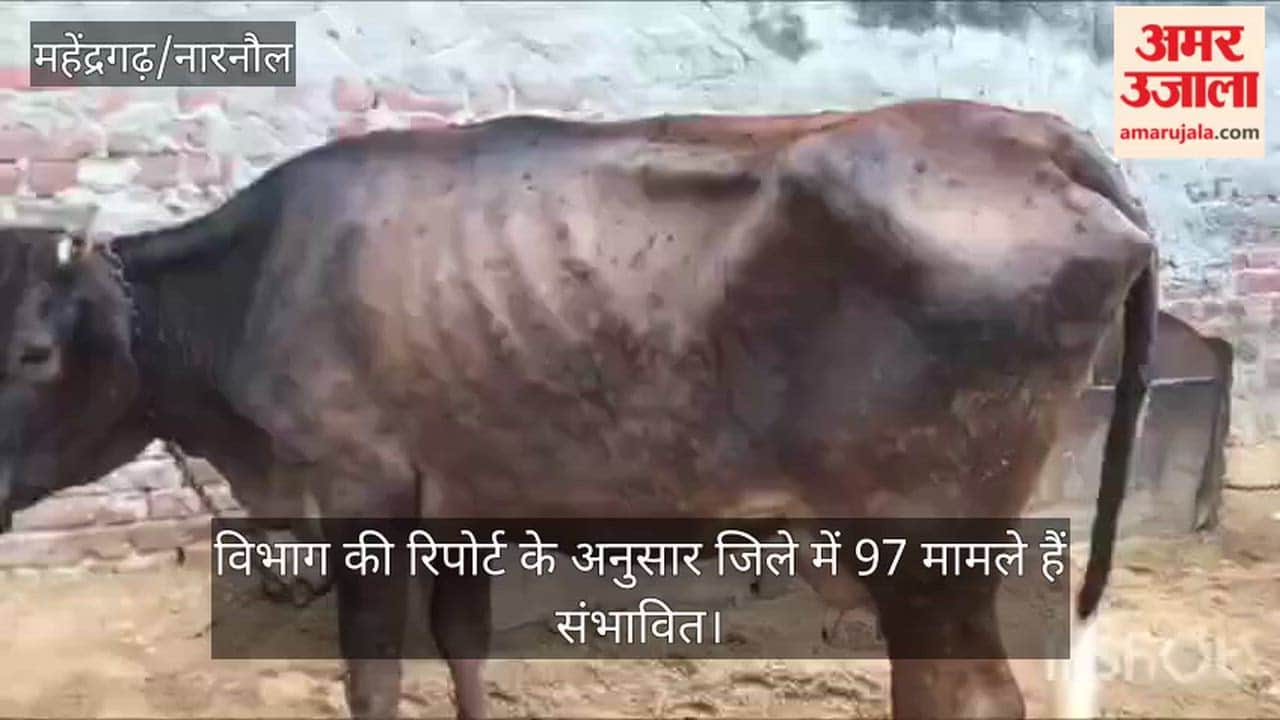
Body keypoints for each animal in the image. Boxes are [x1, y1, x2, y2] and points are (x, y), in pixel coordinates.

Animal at [0, 98, 1156, 719]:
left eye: (33, 351)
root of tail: (1029, 134)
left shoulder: (363, 492)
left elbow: (372, 678)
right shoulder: (461, 503)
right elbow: (464, 645)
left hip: (922, 541)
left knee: (962, 695)